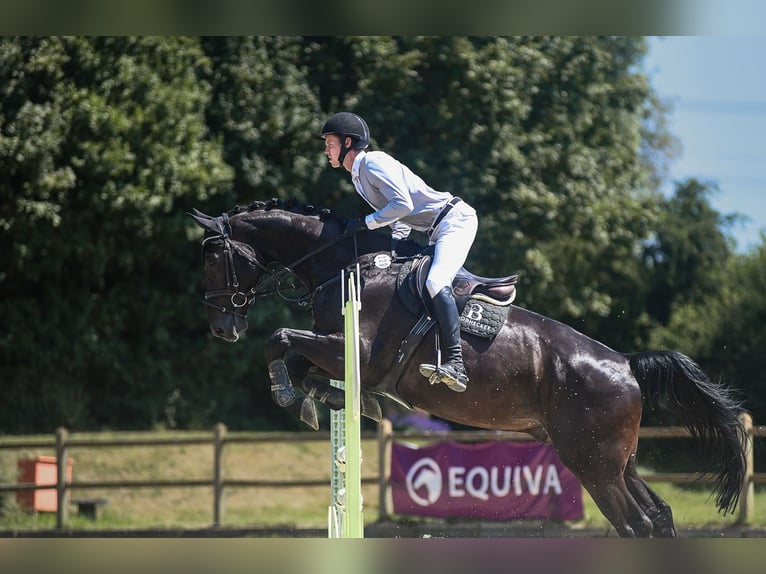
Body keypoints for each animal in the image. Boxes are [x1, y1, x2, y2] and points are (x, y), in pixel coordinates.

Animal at [190, 199, 752, 540]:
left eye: (214, 260)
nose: (222, 328)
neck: (345, 266)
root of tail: (627, 366)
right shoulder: (341, 354)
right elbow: (308, 367)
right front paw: (324, 401)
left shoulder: (355, 351)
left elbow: (280, 340)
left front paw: (289, 395)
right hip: (616, 460)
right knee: (657, 514)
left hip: (590, 461)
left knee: (634, 523)